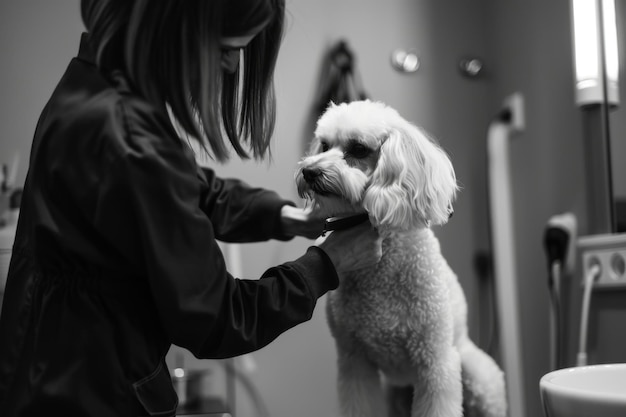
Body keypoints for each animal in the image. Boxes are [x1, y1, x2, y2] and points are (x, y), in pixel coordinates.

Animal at [294, 100, 504, 416]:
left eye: (358, 149)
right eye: (325, 145)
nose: (308, 171)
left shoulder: (435, 364)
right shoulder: (355, 364)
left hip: (478, 378)